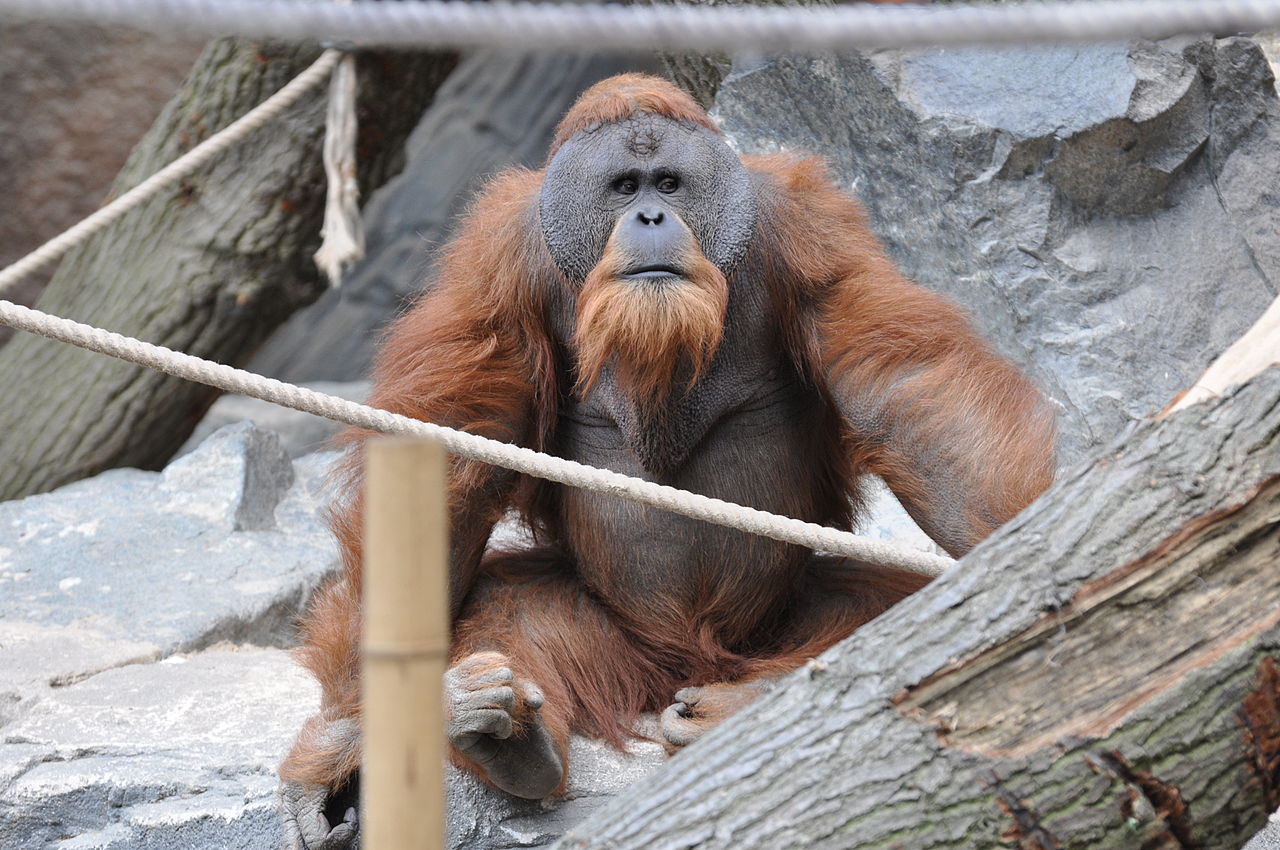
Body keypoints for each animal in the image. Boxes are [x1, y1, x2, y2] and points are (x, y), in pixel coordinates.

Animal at [278, 73, 1055, 849]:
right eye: (625, 187)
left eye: (671, 185)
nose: (651, 215)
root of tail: (684, 663)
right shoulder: (497, 260)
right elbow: (453, 446)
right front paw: (341, 751)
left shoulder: (810, 229)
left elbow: (906, 392)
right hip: (618, 642)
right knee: (511, 602)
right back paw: (504, 735)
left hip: (767, 629)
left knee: (879, 601)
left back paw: (735, 708)